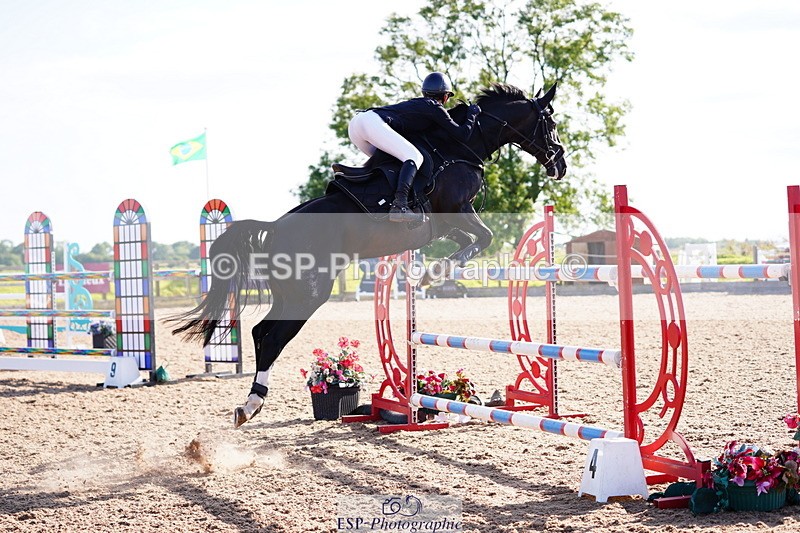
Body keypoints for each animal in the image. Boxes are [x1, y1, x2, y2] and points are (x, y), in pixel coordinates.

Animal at [170, 82, 567, 427]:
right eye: (550, 122)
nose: (560, 165)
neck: (459, 146)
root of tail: (274, 229)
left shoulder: (442, 224)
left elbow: (469, 240)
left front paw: (431, 274)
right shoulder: (457, 209)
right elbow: (483, 238)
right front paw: (432, 274)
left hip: (290, 293)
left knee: (260, 331)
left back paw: (251, 402)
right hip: (310, 295)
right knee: (272, 337)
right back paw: (252, 404)